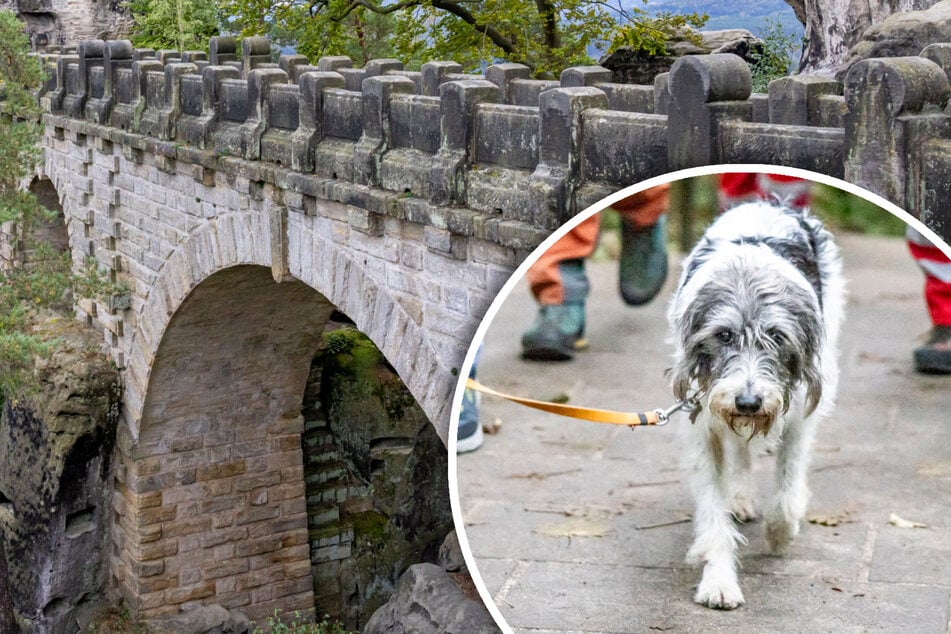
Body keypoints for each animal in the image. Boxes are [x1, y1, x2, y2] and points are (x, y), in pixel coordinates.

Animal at [664, 201, 844, 608]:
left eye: (777, 336)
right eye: (723, 335)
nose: (748, 402)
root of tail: (767, 202)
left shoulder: (798, 417)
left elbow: (787, 487)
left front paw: (781, 532)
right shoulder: (704, 424)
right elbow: (713, 511)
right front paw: (718, 580)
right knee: (741, 452)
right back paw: (741, 497)